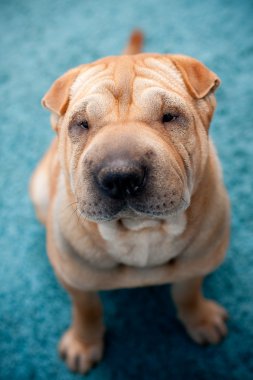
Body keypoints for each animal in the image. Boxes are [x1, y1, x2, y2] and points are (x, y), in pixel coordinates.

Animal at [29, 30, 229, 374]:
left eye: (170, 117)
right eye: (82, 124)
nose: (120, 175)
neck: (141, 231)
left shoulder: (196, 265)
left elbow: (188, 292)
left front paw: (199, 318)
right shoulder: (75, 279)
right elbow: (87, 309)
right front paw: (84, 342)